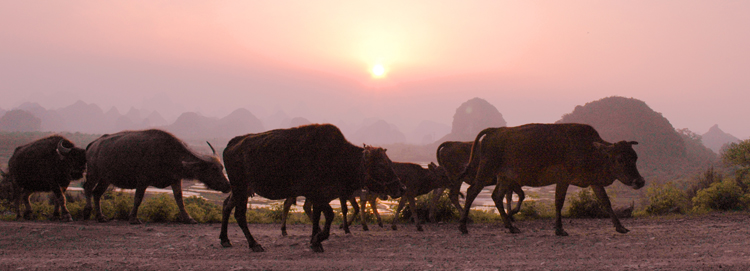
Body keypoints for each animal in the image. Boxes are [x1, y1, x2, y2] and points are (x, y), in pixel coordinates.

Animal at [83, 130, 232, 225]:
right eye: (213, 169)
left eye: (221, 168)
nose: (228, 186)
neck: (170, 154)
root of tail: (94, 144)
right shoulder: (142, 180)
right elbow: (138, 198)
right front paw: (133, 218)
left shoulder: (176, 179)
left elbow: (180, 200)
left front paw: (188, 218)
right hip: (93, 173)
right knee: (87, 188)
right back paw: (87, 211)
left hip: (105, 178)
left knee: (97, 193)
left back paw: (100, 217)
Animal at [219, 124, 406, 254]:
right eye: (381, 165)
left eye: (390, 162)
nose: (401, 187)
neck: (339, 156)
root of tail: (232, 144)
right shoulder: (317, 195)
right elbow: (328, 215)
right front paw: (318, 239)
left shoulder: (321, 197)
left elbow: (318, 217)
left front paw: (314, 240)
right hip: (240, 188)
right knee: (240, 215)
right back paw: (254, 244)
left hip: (240, 191)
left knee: (227, 206)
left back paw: (225, 239)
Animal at [458, 124, 648, 237]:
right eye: (619, 159)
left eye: (635, 157)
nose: (639, 181)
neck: (591, 151)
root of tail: (495, 130)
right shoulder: (563, 179)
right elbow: (559, 202)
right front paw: (559, 228)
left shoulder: (594, 181)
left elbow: (606, 202)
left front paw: (620, 227)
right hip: (486, 170)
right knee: (472, 191)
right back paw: (463, 226)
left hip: (505, 177)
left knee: (496, 196)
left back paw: (510, 226)